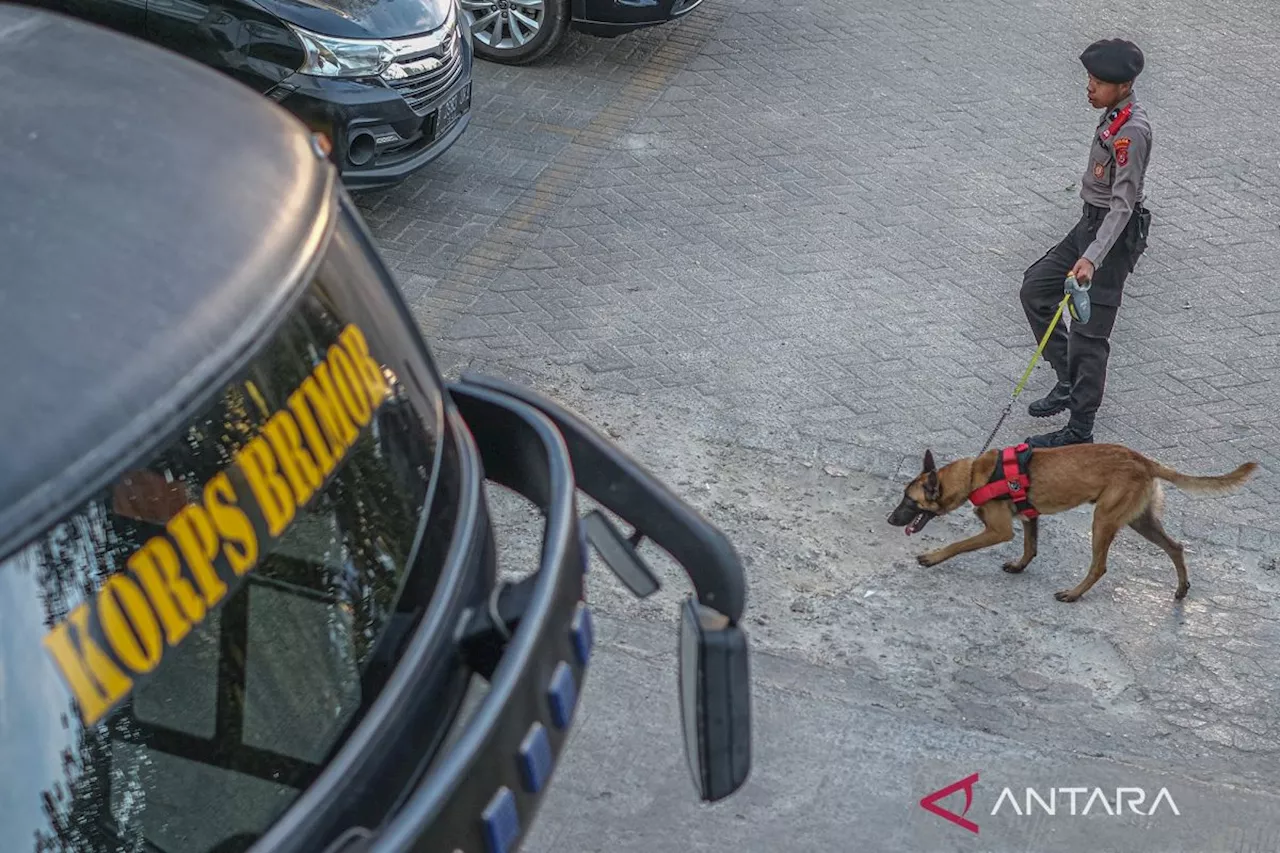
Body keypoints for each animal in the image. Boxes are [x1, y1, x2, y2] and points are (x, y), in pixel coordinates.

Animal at [885, 440, 1254, 601]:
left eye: (909, 501)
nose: (890, 519)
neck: (976, 474)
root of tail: (1145, 461)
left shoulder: (998, 530)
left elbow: (959, 545)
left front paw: (933, 557)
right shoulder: (1029, 517)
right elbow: (1031, 546)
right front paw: (1020, 566)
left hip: (1103, 520)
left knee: (1099, 566)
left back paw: (1074, 594)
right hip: (1140, 521)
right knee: (1176, 547)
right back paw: (1181, 589)